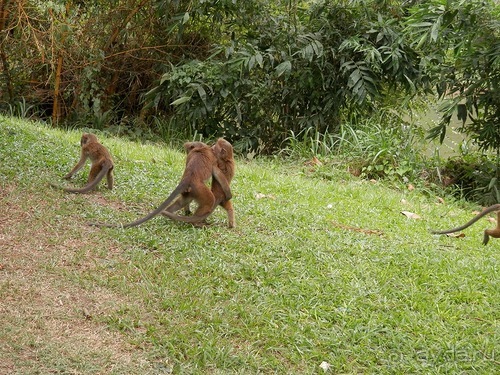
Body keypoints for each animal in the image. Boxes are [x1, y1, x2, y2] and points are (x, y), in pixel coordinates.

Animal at [89, 142, 231, 228]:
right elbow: (217, 172)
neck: (202, 148)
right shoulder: (213, 160)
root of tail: (188, 178)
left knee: (183, 200)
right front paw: (229, 194)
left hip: (193, 190)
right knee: (209, 201)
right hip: (200, 188)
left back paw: (171, 215)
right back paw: (196, 222)